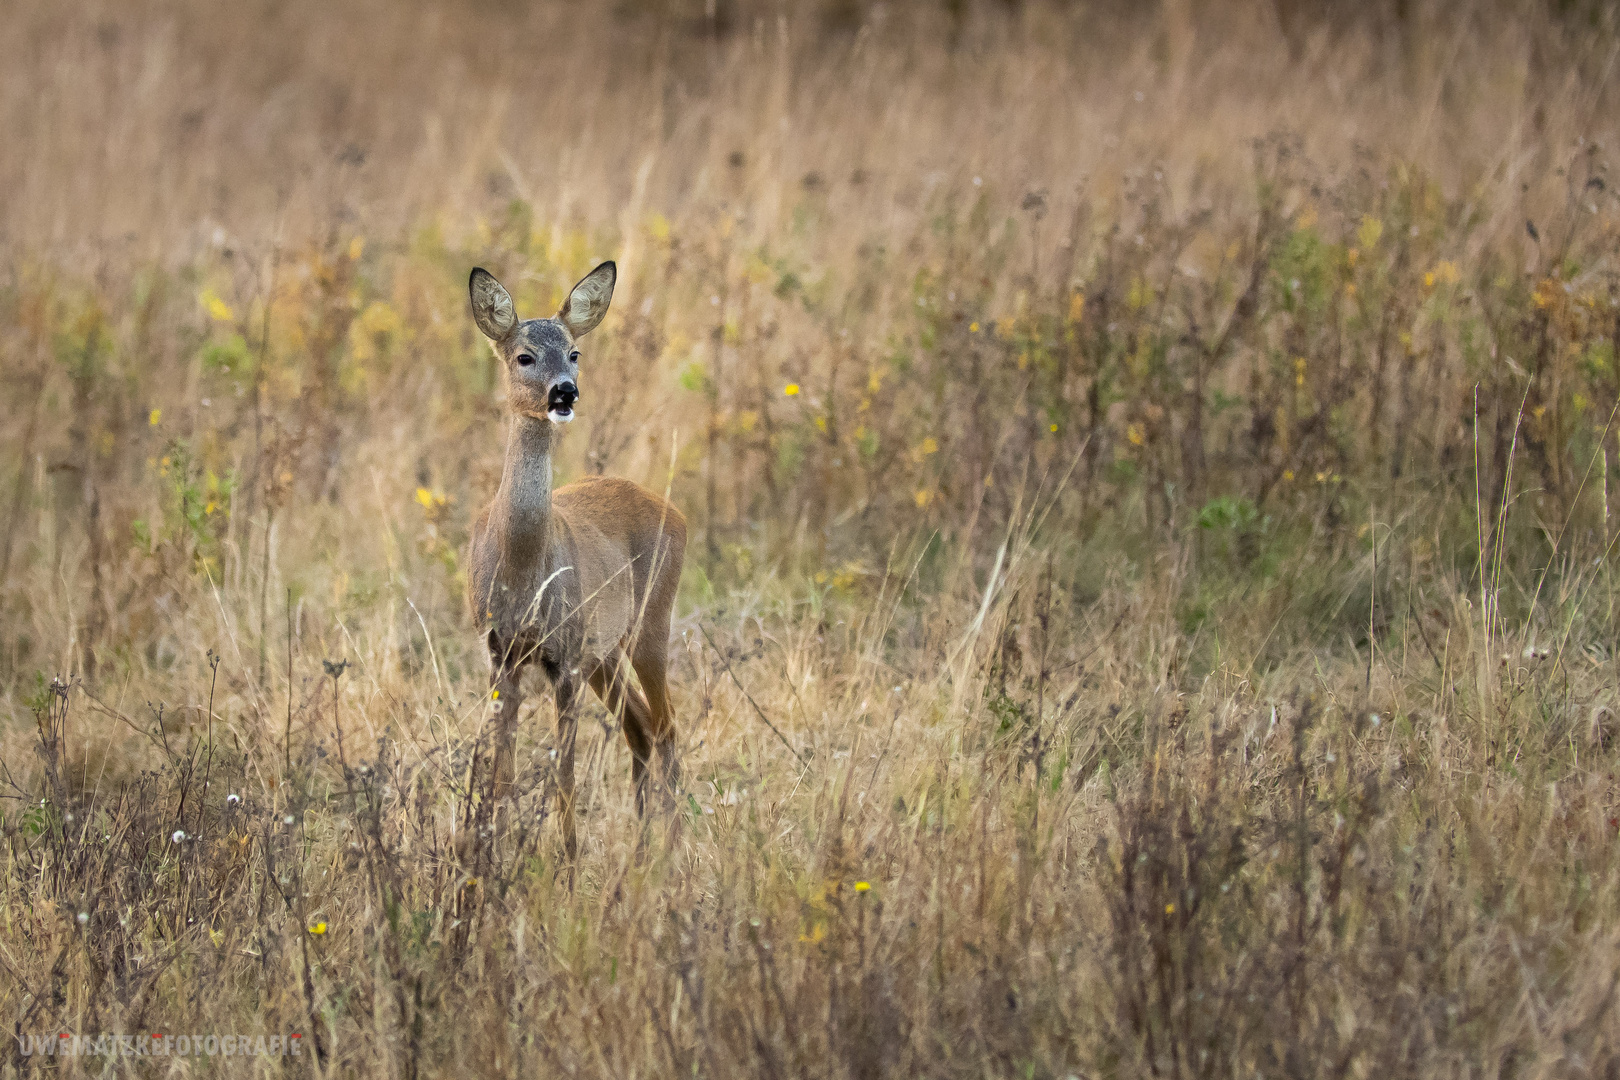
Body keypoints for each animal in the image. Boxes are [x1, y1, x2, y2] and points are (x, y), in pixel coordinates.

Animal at [469, 263, 683, 861]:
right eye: (524, 355)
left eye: (574, 352)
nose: (564, 390)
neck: (523, 570)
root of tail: (677, 513)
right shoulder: (501, 654)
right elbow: (502, 771)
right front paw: (491, 855)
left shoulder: (561, 655)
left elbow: (563, 772)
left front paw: (565, 856)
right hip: (602, 652)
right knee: (641, 726)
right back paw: (642, 847)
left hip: (649, 624)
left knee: (667, 727)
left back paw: (673, 853)